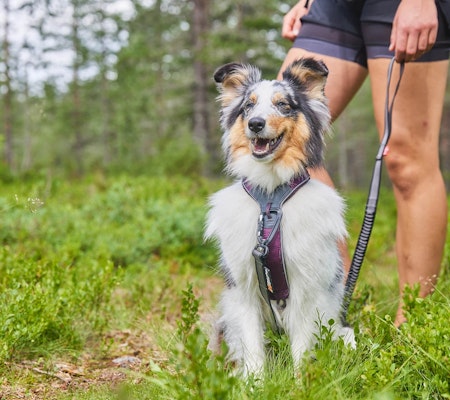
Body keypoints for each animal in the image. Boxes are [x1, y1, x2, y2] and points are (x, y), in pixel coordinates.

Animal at [205, 57, 356, 376]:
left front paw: (299, 382)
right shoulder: (244, 289)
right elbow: (252, 347)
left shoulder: (306, 288)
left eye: (283, 105)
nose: (255, 124)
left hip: (342, 330)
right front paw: (255, 382)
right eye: (248, 106)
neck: (271, 198)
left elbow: (302, 347)